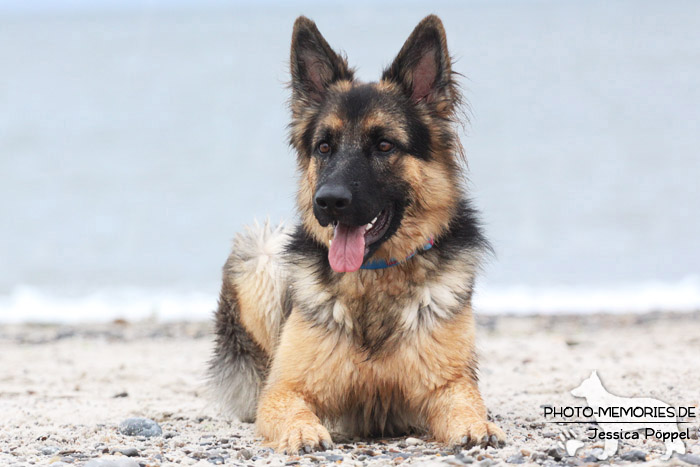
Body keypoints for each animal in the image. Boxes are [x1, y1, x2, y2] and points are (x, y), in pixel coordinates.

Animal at [208, 13, 504, 454]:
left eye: (383, 145)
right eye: (324, 147)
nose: (329, 201)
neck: (374, 279)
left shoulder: (449, 383)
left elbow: (465, 403)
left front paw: (476, 425)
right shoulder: (284, 389)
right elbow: (289, 408)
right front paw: (302, 431)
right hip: (260, 253)